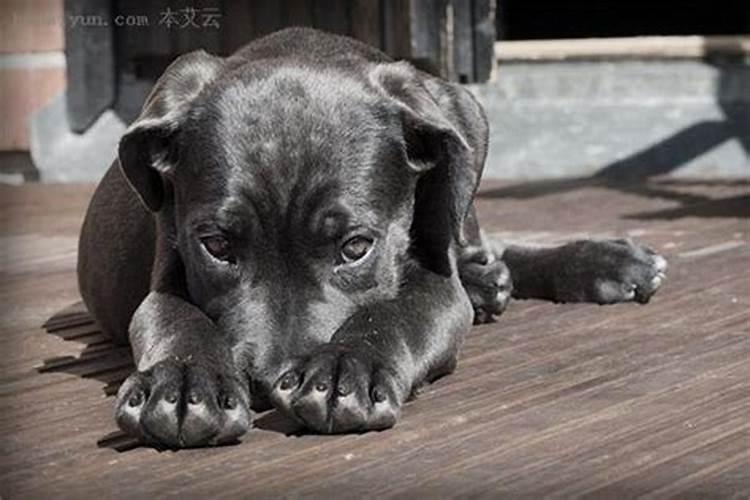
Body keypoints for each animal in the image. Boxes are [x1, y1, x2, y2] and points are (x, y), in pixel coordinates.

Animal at [78, 28, 668, 450]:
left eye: (355, 247)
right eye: (217, 247)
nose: (268, 383)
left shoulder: (436, 284)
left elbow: (396, 312)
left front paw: (347, 367)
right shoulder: (167, 270)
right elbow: (174, 318)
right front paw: (182, 383)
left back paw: (600, 263)